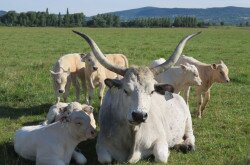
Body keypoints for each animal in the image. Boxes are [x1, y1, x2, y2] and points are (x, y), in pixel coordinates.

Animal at [73, 30, 201, 163]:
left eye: (152, 91)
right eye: (125, 90)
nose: (139, 115)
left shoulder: (160, 140)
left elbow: (160, 157)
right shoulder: (101, 144)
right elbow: (105, 159)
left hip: (188, 119)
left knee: (190, 135)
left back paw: (187, 145)